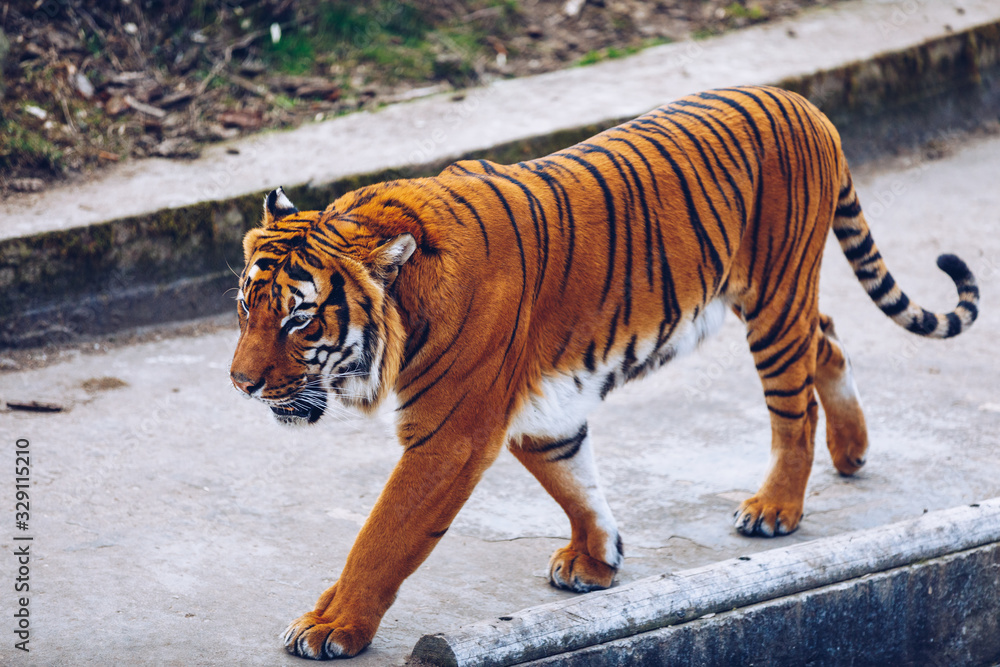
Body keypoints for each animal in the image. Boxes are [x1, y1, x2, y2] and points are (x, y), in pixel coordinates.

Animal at [228, 85, 979, 659]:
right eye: (245, 307)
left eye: (299, 320)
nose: (240, 384)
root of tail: (804, 102)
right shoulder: (538, 410)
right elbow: (573, 479)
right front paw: (597, 558)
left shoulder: (450, 435)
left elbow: (382, 536)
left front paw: (330, 626)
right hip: (777, 301)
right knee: (828, 339)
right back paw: (852, 451)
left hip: (773, 298)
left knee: (796, 406)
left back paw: (777, 507)